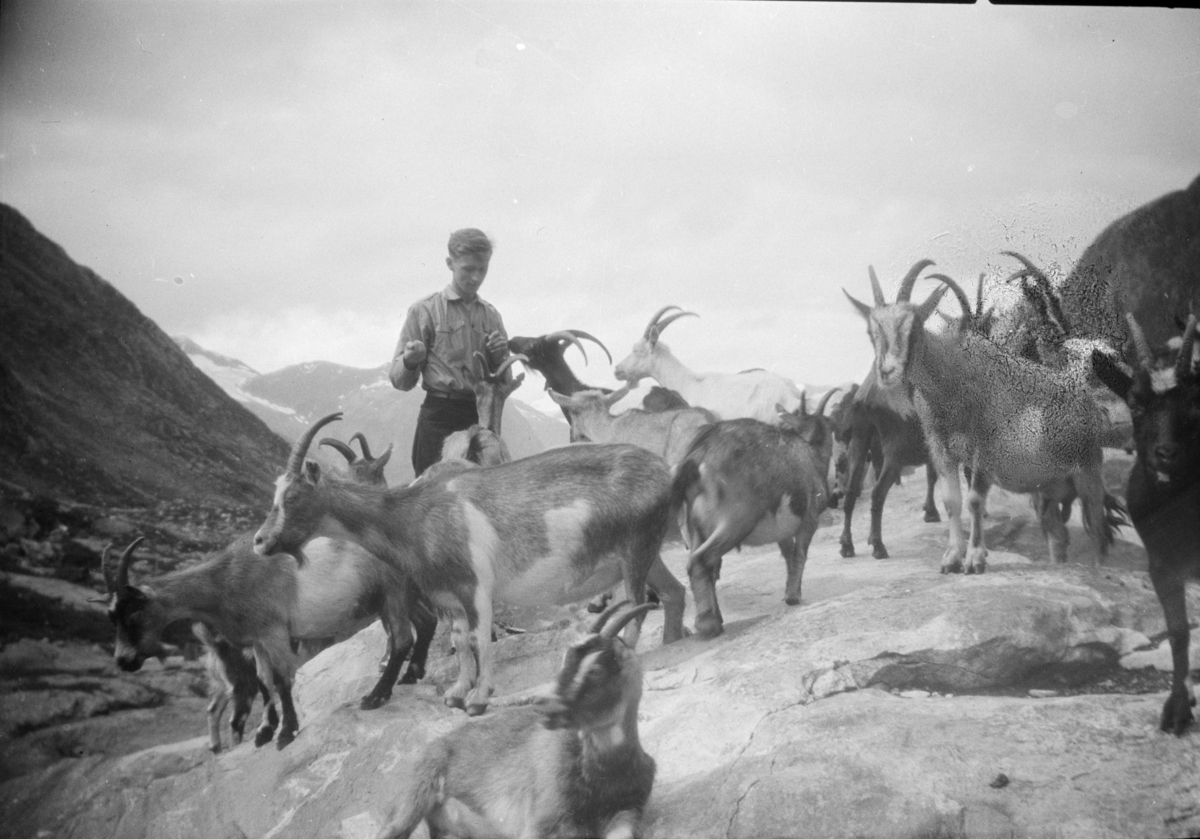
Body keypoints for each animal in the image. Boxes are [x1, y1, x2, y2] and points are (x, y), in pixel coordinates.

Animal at [253, 412, 686, 715]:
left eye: (292, 497)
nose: (260, 541)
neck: (414, 515)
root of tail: (665, 471)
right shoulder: (446, 596)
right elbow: (461, 642)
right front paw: (457, 693)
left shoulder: (475, 587)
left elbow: (480, 640)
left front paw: (478, 699)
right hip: (647, 553)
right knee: (673, 592)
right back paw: (676, 640)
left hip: (636, 549)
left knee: (637, 605)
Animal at [372, 600, 657, 839]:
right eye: (565, 658)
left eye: (595, 670)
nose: (544, 704)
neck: (604, 771)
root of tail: (437, 745)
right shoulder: (542, 819)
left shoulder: (628, 810)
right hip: (414, 798)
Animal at [672, 391, 840, 638]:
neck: (811, 454)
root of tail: (696, 459)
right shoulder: (809, 520)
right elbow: (800, 554)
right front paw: (793, 597)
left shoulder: (783, 530)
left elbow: (788, 555)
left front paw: (789, 591)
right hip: (736, 520)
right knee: (701, 560)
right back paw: (708, 624)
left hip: (694, 527)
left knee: (708, 565)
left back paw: (716, 617)